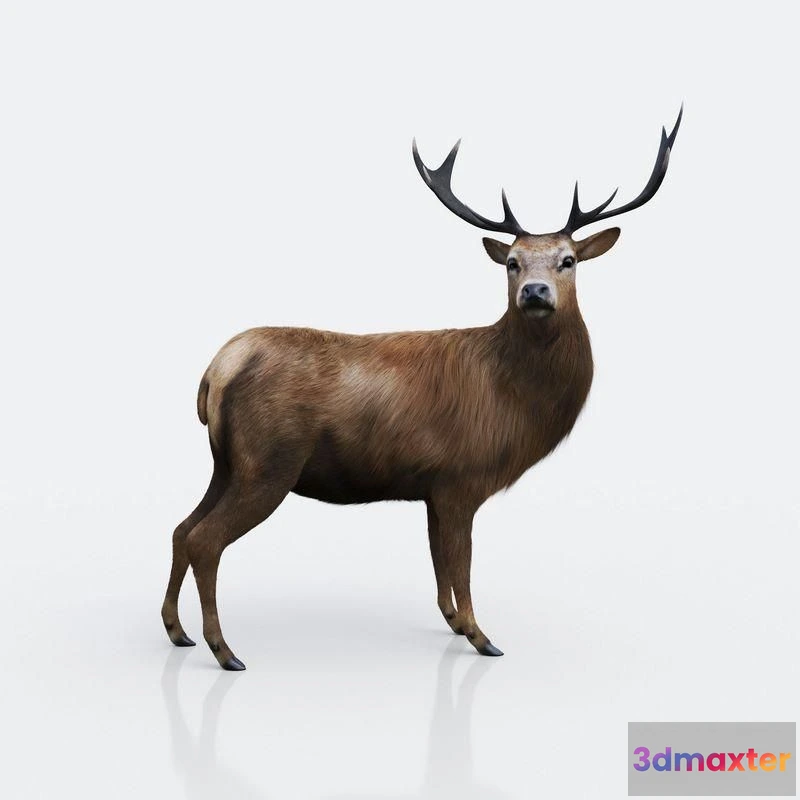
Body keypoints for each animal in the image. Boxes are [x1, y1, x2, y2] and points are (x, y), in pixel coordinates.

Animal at [161, 109, 682, 670]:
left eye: (569, 260)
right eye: (512, 262)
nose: (535, 292)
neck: (513, 400)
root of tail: (217, 370)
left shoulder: (432, 487)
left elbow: (439, 569)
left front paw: (453, 623)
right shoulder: (462, 476)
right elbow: (461, 566)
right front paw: (481, 636)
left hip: (226, 462)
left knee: (181, 529)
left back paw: (177, 631)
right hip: (269, 461)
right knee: (206, 540)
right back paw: (224, 650)